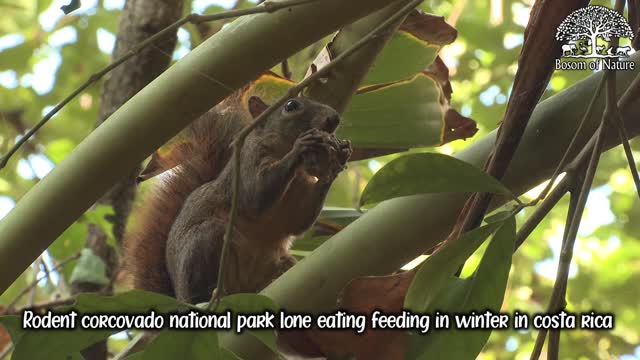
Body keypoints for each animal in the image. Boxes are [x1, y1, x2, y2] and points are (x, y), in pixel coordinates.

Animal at [122, 90, 352, 304]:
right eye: (291, 105)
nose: (334, 117)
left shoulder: (300, 188)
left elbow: (298, 220)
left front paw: (336, 161)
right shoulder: (246, 164)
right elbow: (256, 194)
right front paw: (301, 146)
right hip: (205, 241)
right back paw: (207, 297)